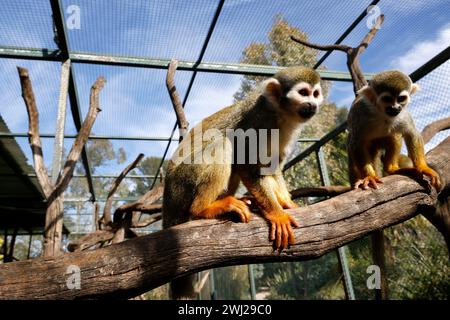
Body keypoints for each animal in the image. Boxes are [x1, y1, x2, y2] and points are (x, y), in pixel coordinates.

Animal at [162, 66, 324, 298]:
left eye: (315, 94)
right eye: (303, 93)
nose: (312, 104)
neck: (281, 115)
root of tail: (167, 199)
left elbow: (271, 167)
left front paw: (285, 202)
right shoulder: (259, 120)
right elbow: (245, 162)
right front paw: (277, 214)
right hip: (182, 182)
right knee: (223, 144)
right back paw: (204, 208)